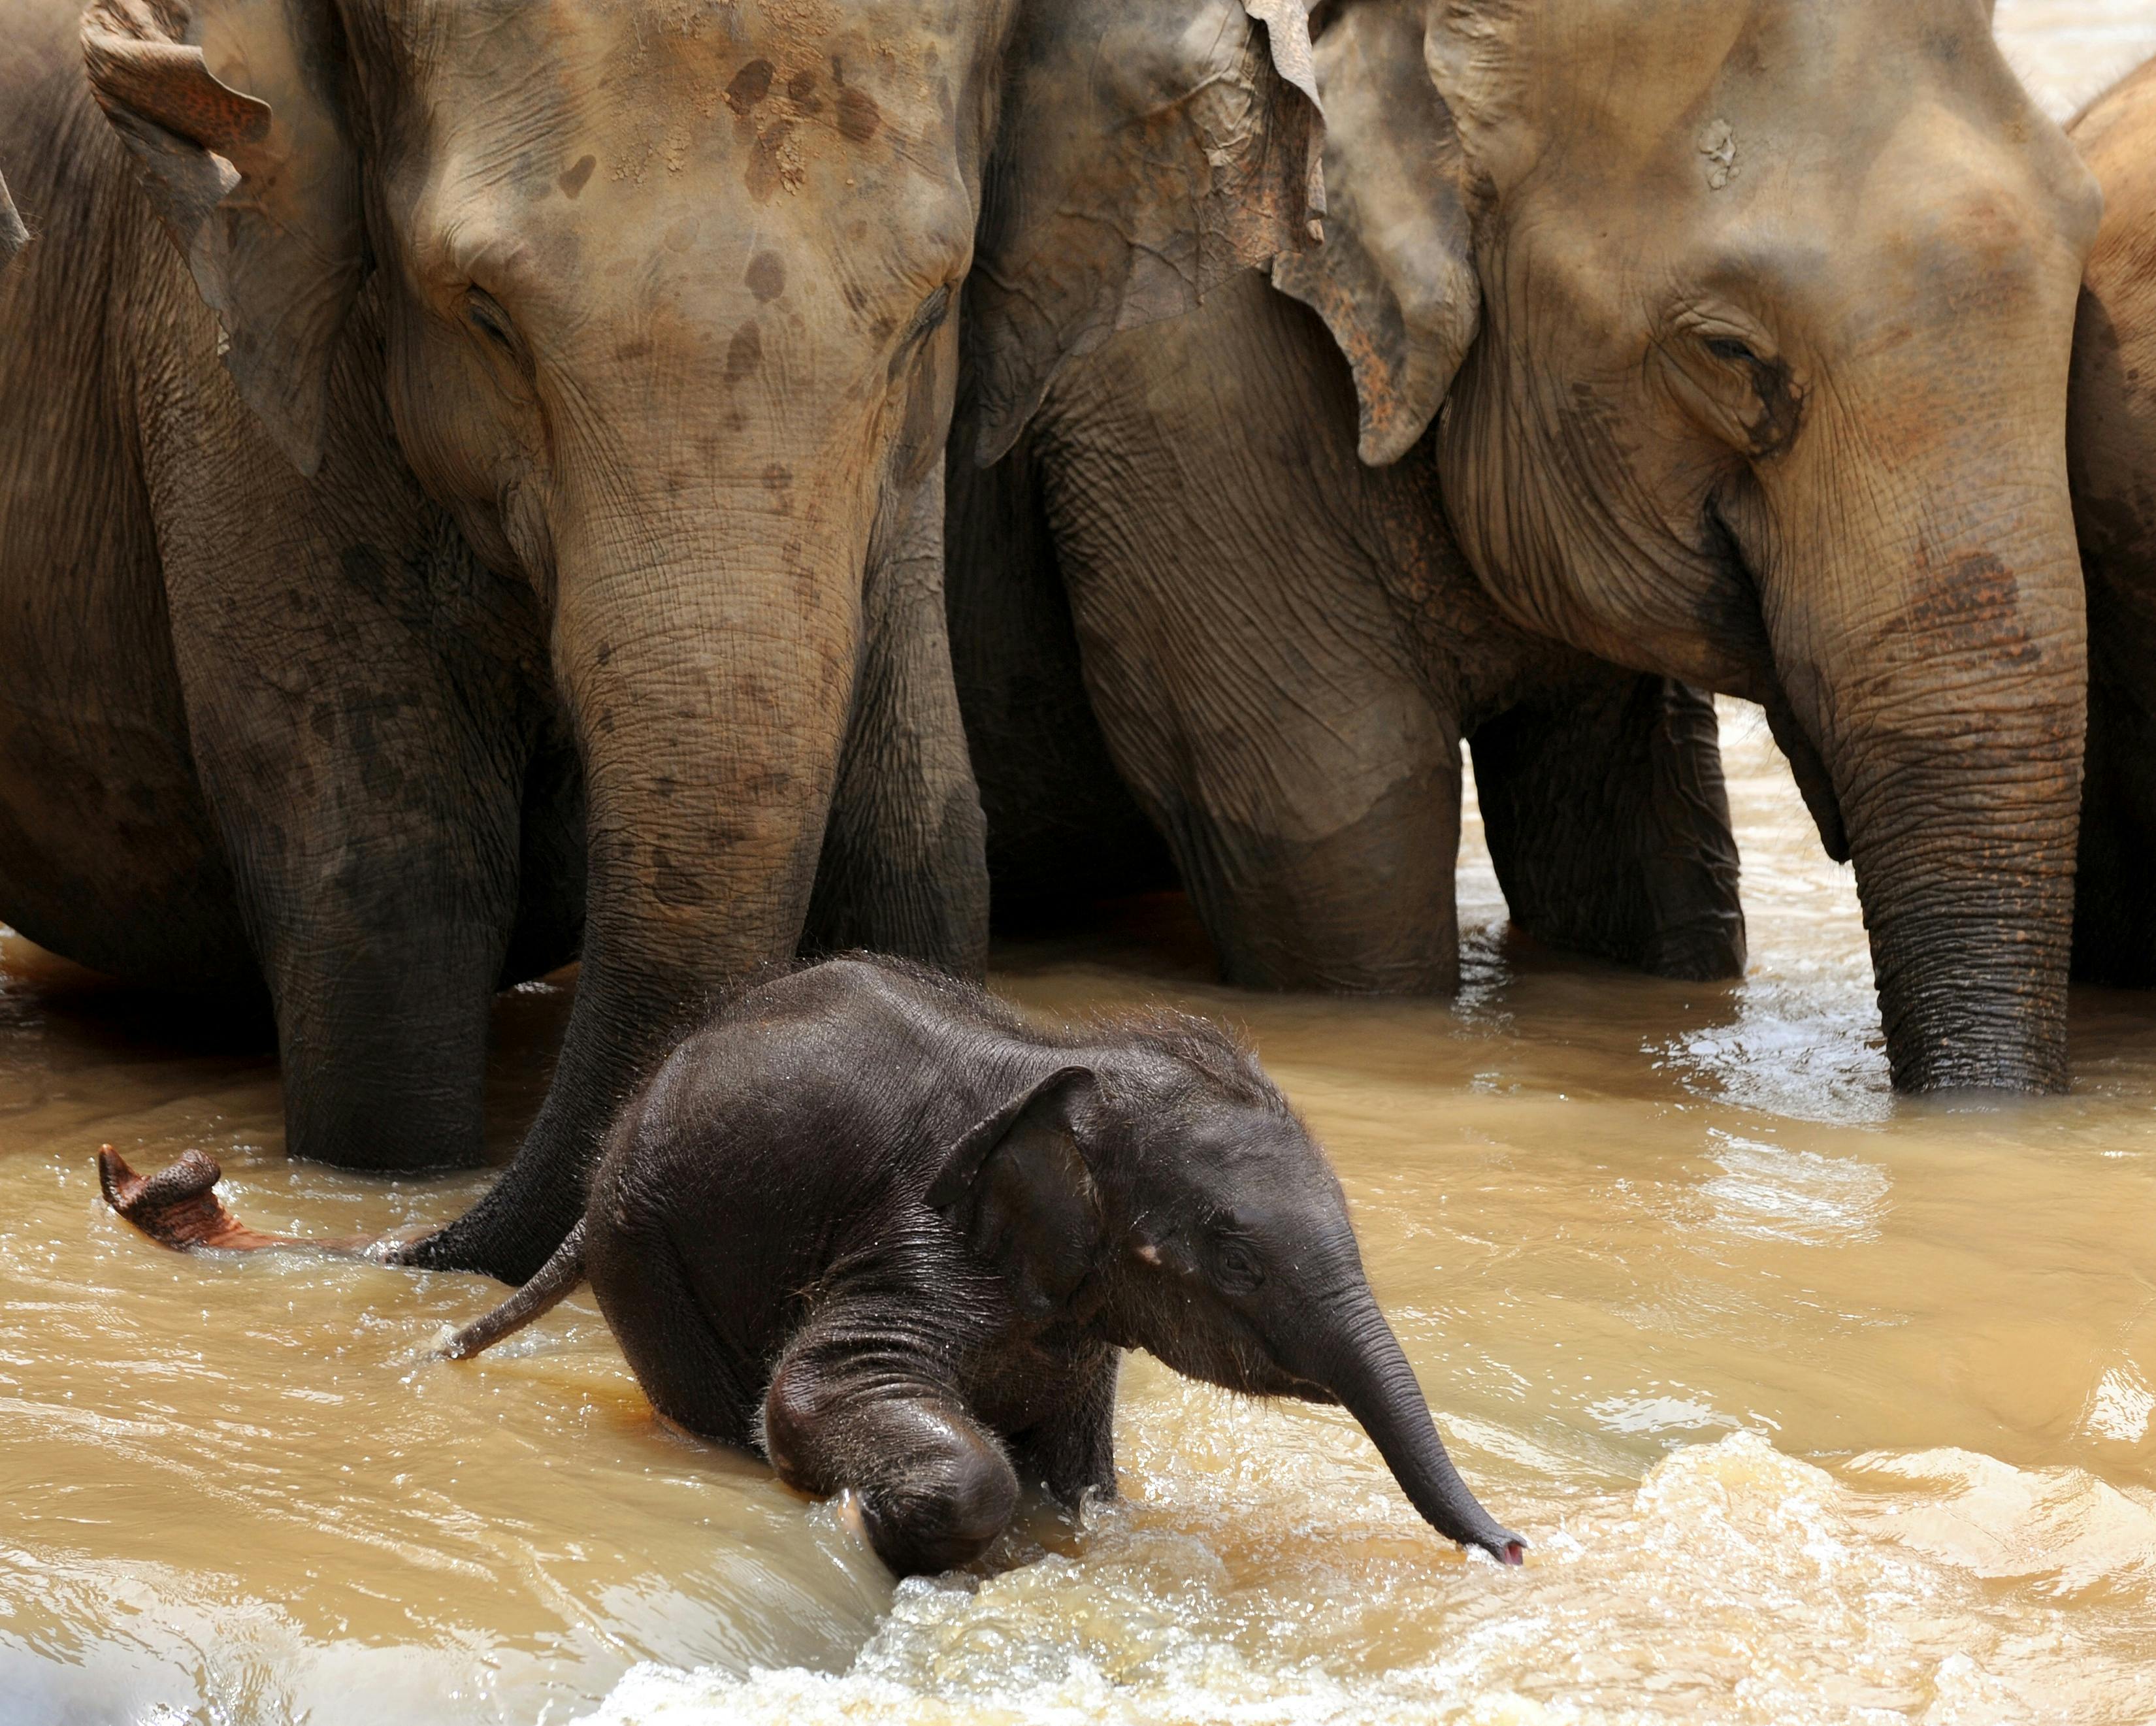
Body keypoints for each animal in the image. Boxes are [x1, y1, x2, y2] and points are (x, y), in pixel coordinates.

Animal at [0, 0, 1321, 1282]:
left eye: (933, 313)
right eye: (486, 316)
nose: (166, 1176)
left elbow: (919, 846)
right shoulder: (222, 366)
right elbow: (392, 902)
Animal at [99, 955, 1526, 1579]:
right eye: (1233, 1252)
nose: (1515, 1545)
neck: (1064, 1058)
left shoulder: (1071, 1313)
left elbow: (1083, 1468)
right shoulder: (913, 1235)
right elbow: (818, 1389)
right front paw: (868, 1520)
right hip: (652, 1252)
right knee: (718, 1399)